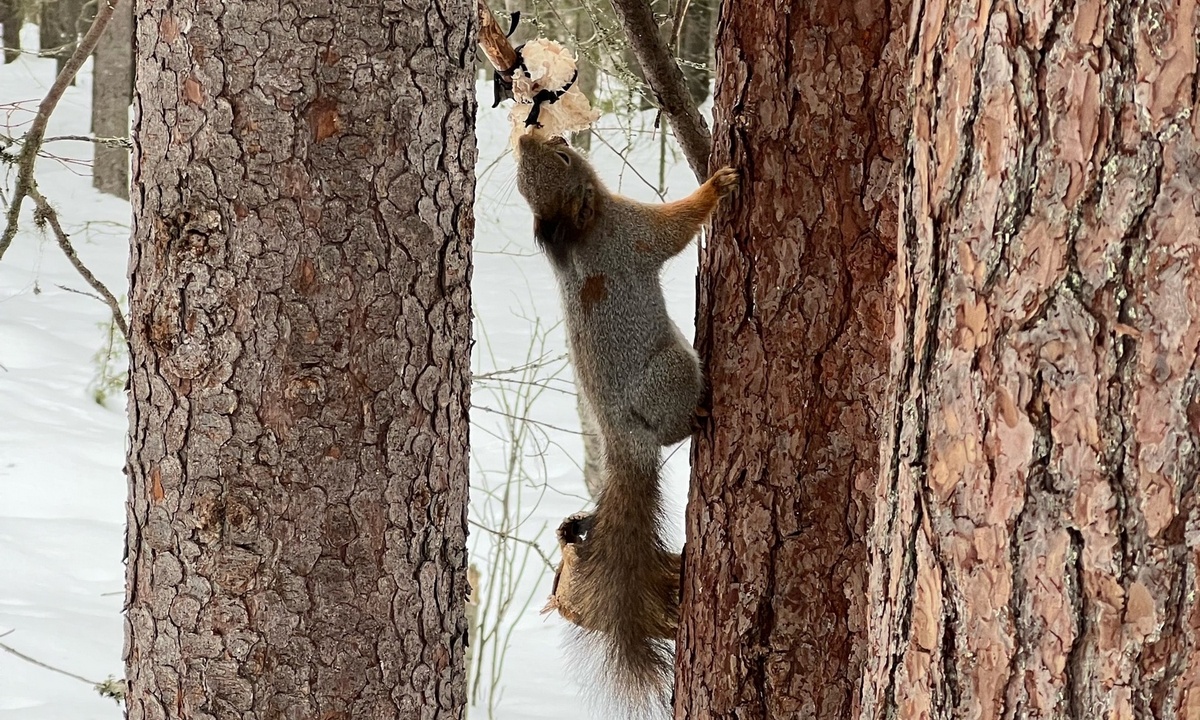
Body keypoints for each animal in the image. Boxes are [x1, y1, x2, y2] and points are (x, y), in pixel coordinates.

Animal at [516, 133, 739, 715]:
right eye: (565, 158)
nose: (532, 133)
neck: (581, 227)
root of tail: (624, 442)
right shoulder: (630, 232)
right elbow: (673, 229)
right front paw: (717, 184)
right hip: (675, 368)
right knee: (675, 423)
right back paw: (699, 412)